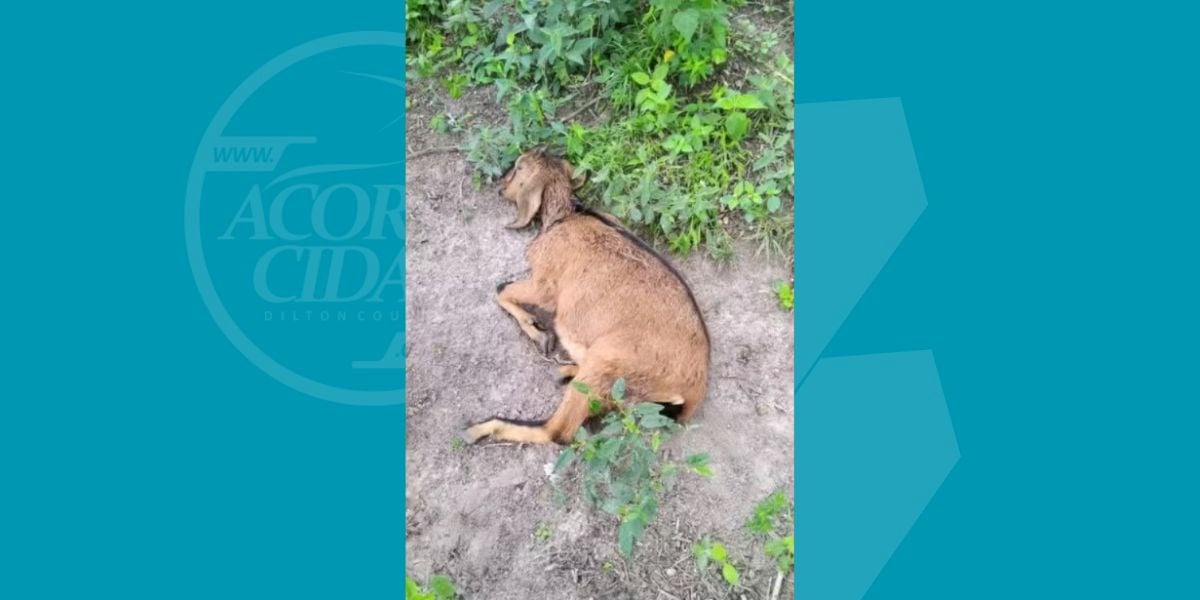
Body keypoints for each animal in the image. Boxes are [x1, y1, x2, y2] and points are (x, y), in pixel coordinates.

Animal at [463, 148, 711, 445]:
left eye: (519, 167)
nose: (500, 185)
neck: (567, 217)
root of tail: (689, 394)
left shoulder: (546, 285)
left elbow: (502, 289)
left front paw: (540, 334)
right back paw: (567, 371)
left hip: (610, 359)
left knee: (558, 431)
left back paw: (482, 427)